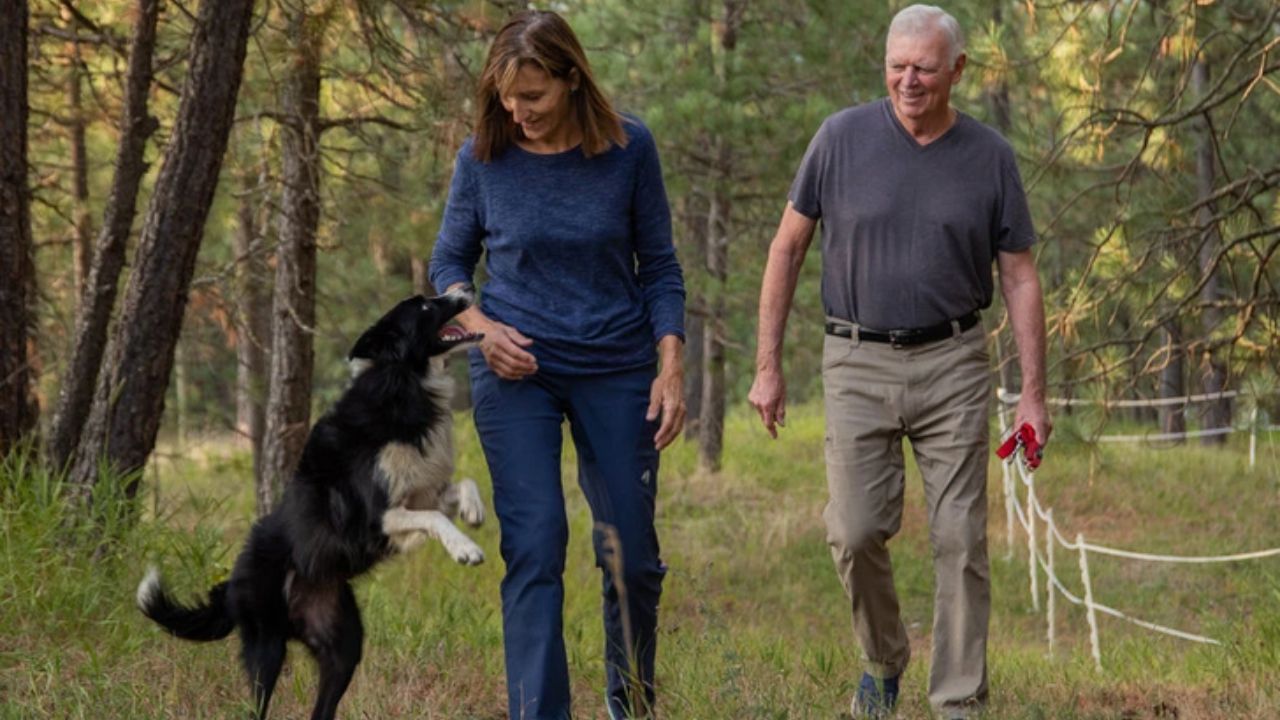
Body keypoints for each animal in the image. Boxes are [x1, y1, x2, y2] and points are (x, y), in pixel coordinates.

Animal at [135, 285, 483, 717]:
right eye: (423, 305)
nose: (465, 288)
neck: (402, 382)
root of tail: (232, 582)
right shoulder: (375, 517)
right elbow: (436, 518)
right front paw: (466, 549)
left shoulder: (420, 491)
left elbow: (462, 486)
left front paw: (473, 510)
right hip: (267, 648)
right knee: (258, 704)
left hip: (342, 647)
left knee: (323, 706)